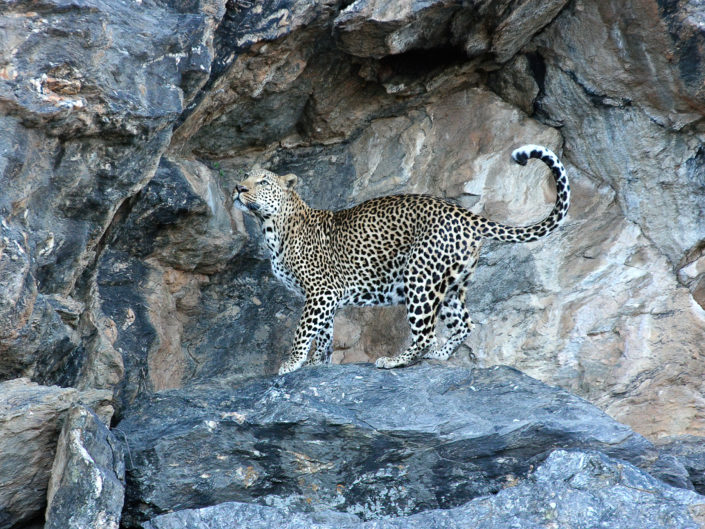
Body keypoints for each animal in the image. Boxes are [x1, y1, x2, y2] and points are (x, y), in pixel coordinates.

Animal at [233, 144, 570, 375]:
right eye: (245, 176)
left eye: (263, 182)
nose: (238, 187)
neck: (271, 226)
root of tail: (467, 215)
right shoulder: (325, 298)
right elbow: (324, 334)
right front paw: (319, 365)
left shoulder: (321, 291)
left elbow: (304, 331)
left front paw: (291, 363)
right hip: (450, 282)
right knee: (464, 323)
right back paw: (439, 355)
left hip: (420, 276)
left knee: (426, 334)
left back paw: (395, 360)